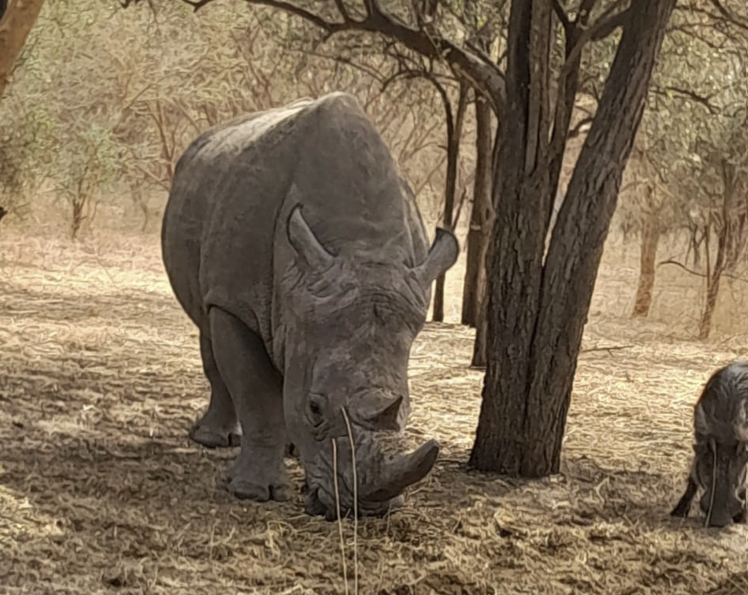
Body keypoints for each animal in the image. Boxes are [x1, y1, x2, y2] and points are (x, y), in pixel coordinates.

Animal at [161, 92, 459, 518]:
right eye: (315, 408)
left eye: (408, 409)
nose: (366, 509)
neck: (362, 246)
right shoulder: (234, 300)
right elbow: (255, 392)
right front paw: (252, 492)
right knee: (208, 331)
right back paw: (212, 440)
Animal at [671, 361, 748, 527]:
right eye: (707, 464)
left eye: (740, 462)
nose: (719, 520)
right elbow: (692, 480)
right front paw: (677, 513)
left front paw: (743, 520)